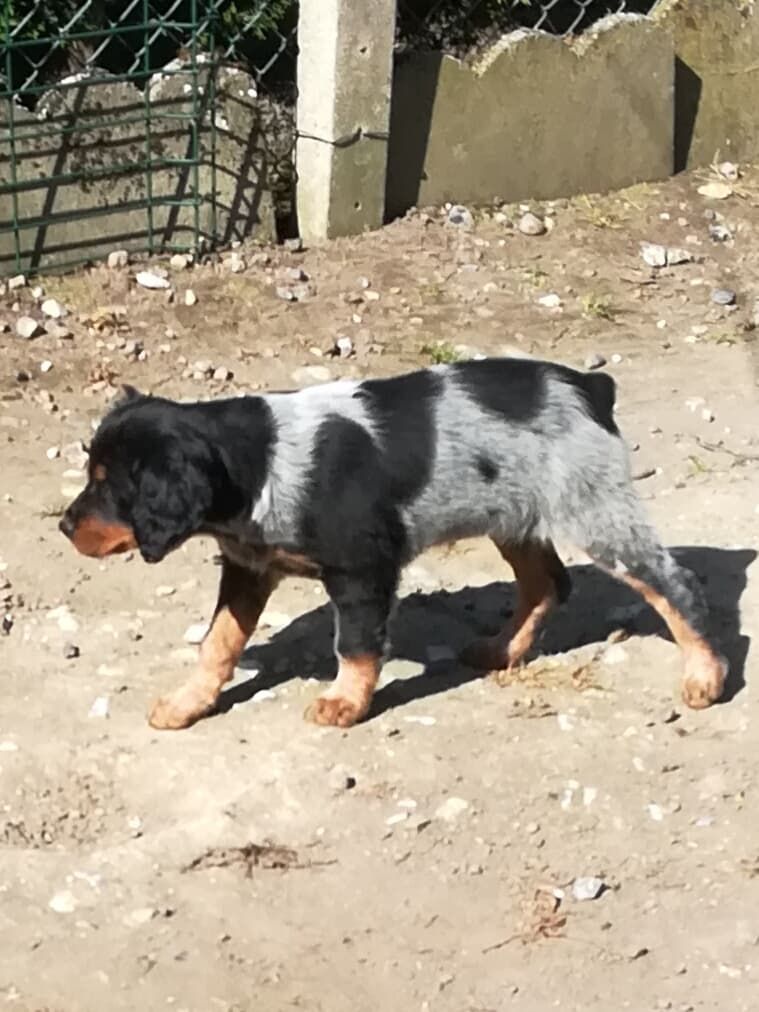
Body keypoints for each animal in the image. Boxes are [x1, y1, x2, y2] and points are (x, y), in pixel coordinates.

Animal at [59, 357, 727, 730]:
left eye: (108, 485)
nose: (64, 527)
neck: (260, 461)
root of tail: (589, 385)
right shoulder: (248, 568)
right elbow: (217, 643)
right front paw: (187, 704)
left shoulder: (362, 570)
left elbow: (354, 645)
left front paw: (345, 704)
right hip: (513, 515)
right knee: (548, 583)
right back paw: (501, 650)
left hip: (596, 514)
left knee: (675, 585)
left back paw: (706, 676)